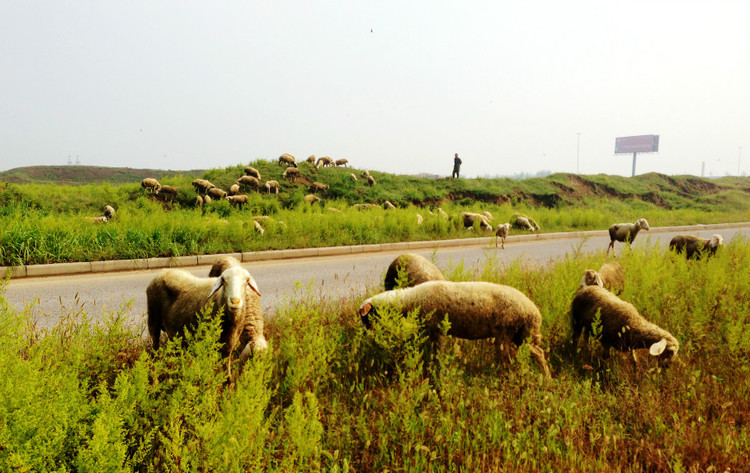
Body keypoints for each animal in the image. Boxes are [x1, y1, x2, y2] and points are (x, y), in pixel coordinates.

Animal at [358, 280, 552, 376]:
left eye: (366, 317)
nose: (367, 333)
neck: (411, 300)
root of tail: (535, 313)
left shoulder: (437, 330)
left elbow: (438, 354)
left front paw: (438, 371)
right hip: (519, 335)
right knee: (536, 353)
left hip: (509, 333)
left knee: (524, 356)